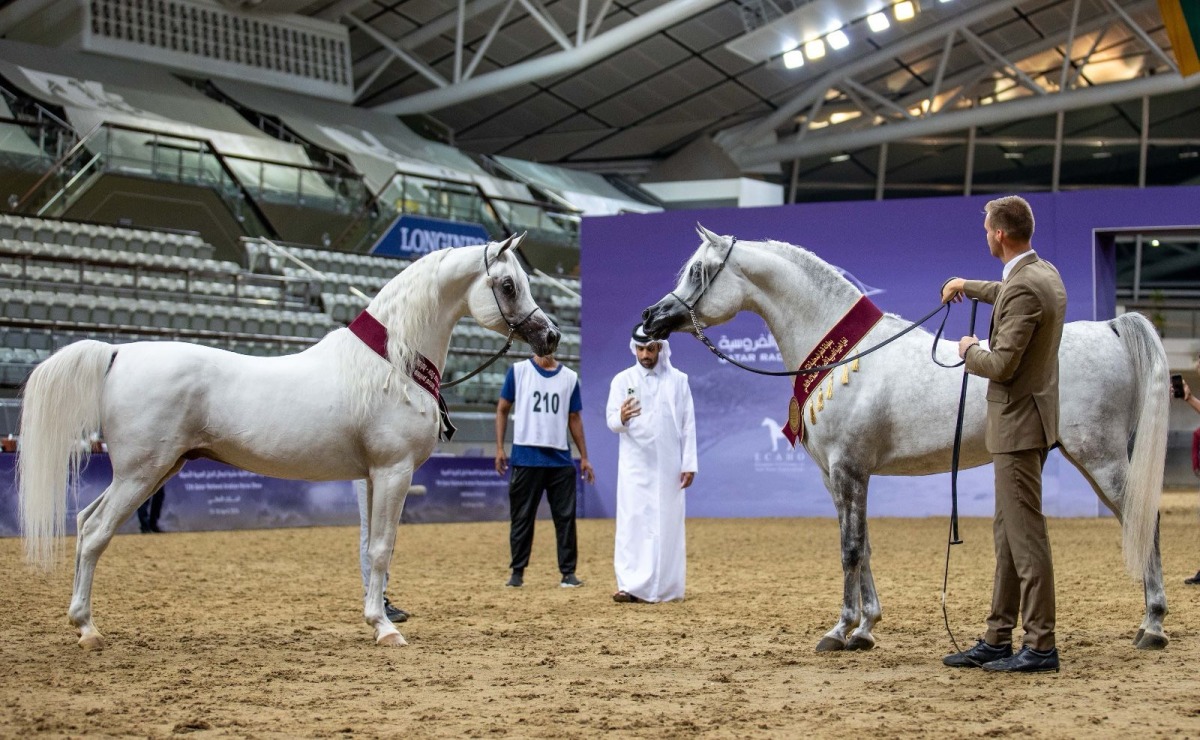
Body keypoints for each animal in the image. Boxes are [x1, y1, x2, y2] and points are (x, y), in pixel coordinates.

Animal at [18, 234, 558, 649]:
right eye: (507, 285)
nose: (550, 336)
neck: (390, 364)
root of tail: (117, 353)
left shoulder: (370, 477)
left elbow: (369, 550)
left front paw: (377, 616)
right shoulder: (394, 471)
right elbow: (382, 549)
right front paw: (385, 629)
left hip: (152, 470)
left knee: (84, 522)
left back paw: (81, 622)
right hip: (141, 473)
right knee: (95, 533)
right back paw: (88, 630)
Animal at [641, 226, 1169, 652]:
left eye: (699, 271)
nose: (650, 318)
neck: (847, 357)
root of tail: (1110, 329)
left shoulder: (849, 469)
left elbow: (851, 549)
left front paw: (840, 630)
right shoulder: (839, 477)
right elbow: (863, 545)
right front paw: (866, 628)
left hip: (1101, 458)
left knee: (1145, 521)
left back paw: (1153, 626)